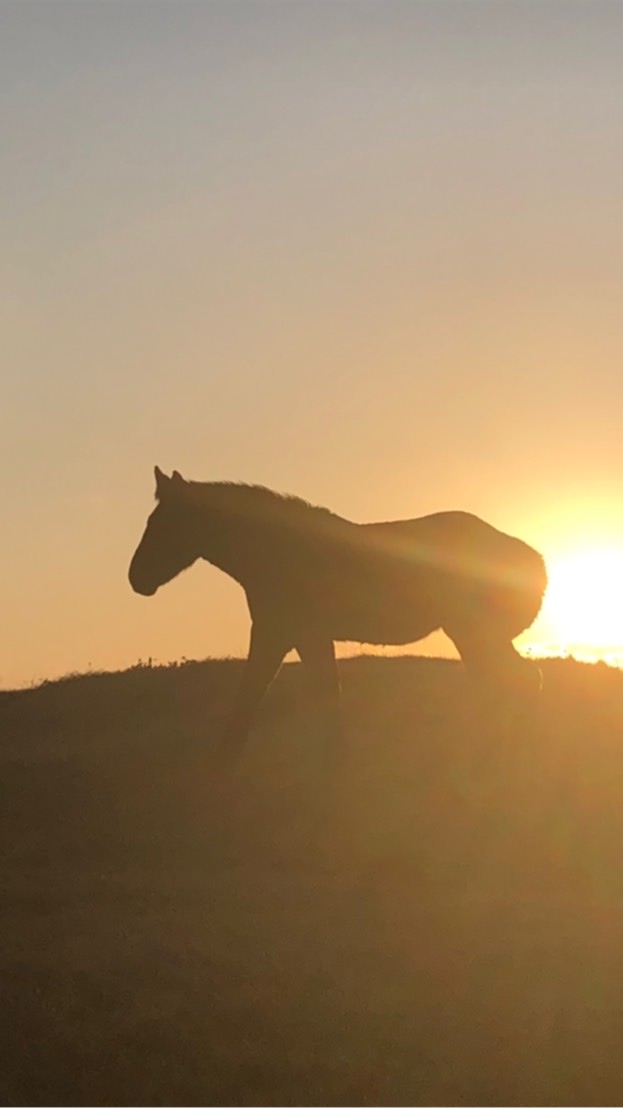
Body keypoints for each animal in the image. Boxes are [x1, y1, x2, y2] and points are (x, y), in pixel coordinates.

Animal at [128, 467, 545, 753]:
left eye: (163, 524)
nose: (137, 579)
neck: (278, 548)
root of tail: (534, 562)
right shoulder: (302, 636)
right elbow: (319, 690)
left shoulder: (280, 632)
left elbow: (259, 687)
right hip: (473, 638)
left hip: (475, 635)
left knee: (517, 681)